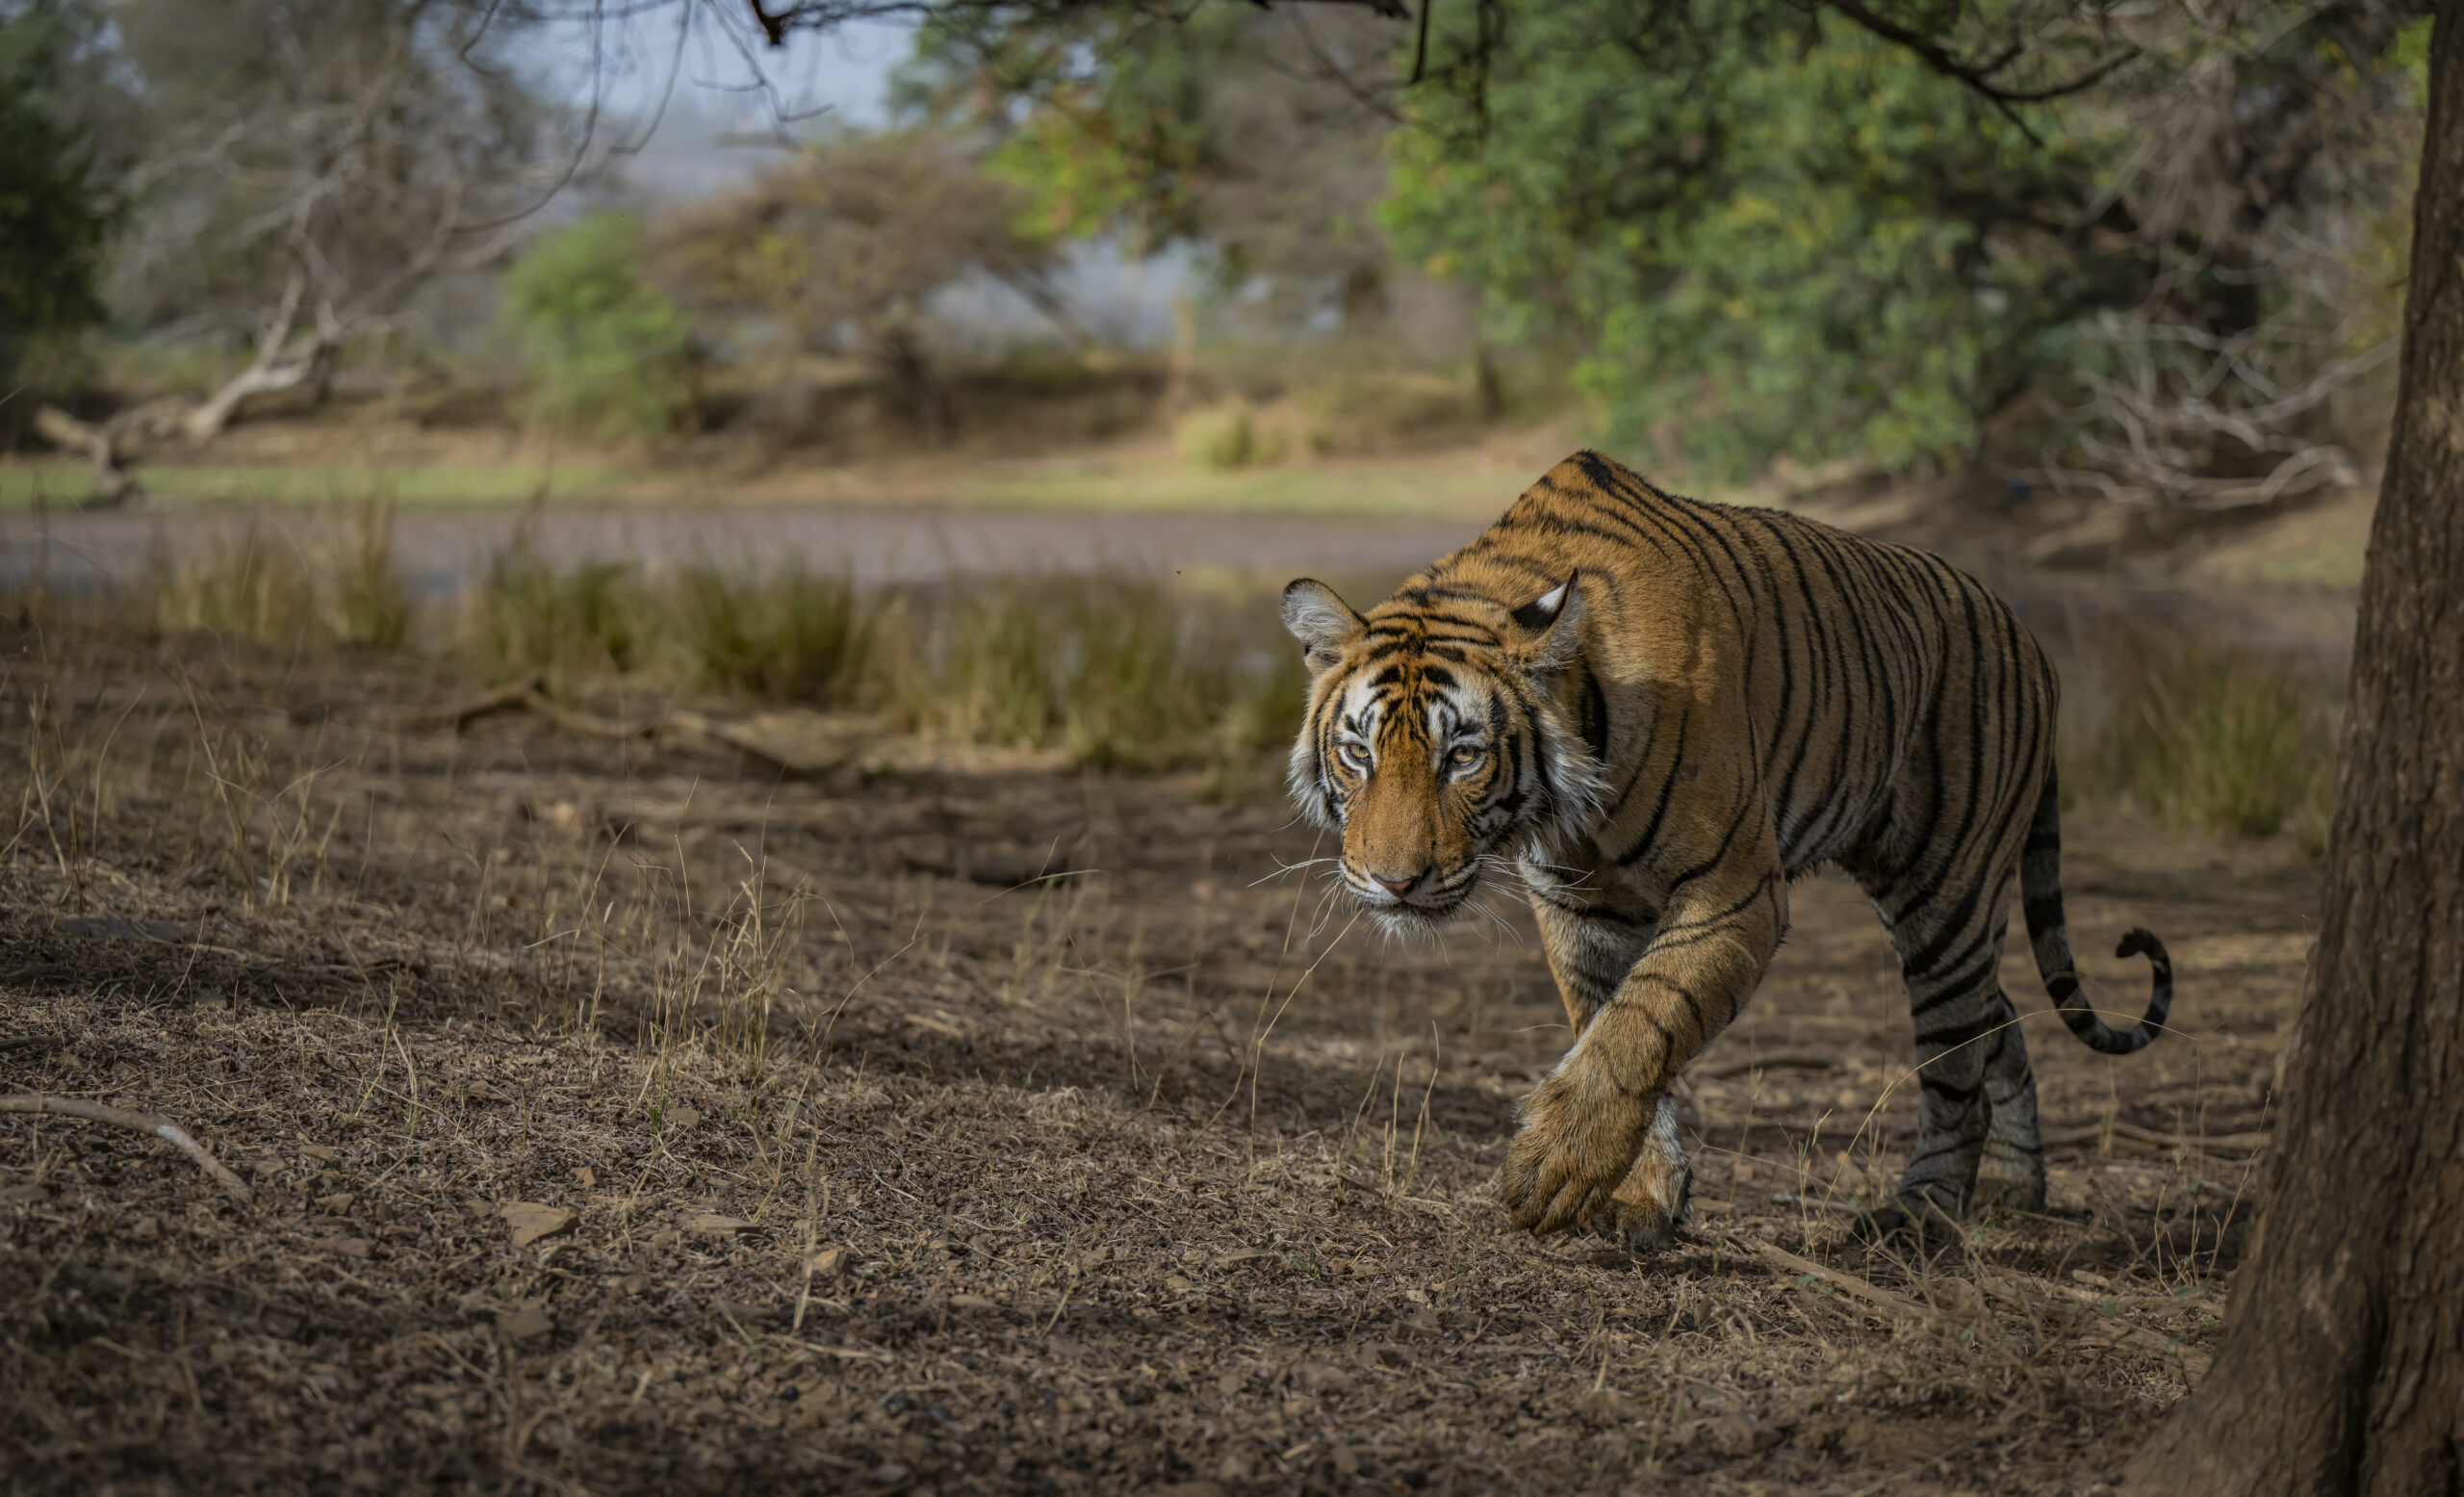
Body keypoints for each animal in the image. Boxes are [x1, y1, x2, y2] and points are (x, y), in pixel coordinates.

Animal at [1281, 450, 2173, 1249]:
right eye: (1358, 752)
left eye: (1462, 756)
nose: (1396, 882)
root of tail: (2031, 635)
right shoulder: (1580, 903)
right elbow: (1607, 1018)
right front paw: (1640, 1197)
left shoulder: (1737, 887)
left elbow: (1644, 1020)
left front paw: (1556, 1165)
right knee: (2000, 1020)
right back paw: (2011, 1193)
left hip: (1946, 891)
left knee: (1959, 1061)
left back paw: (1919, 1217)